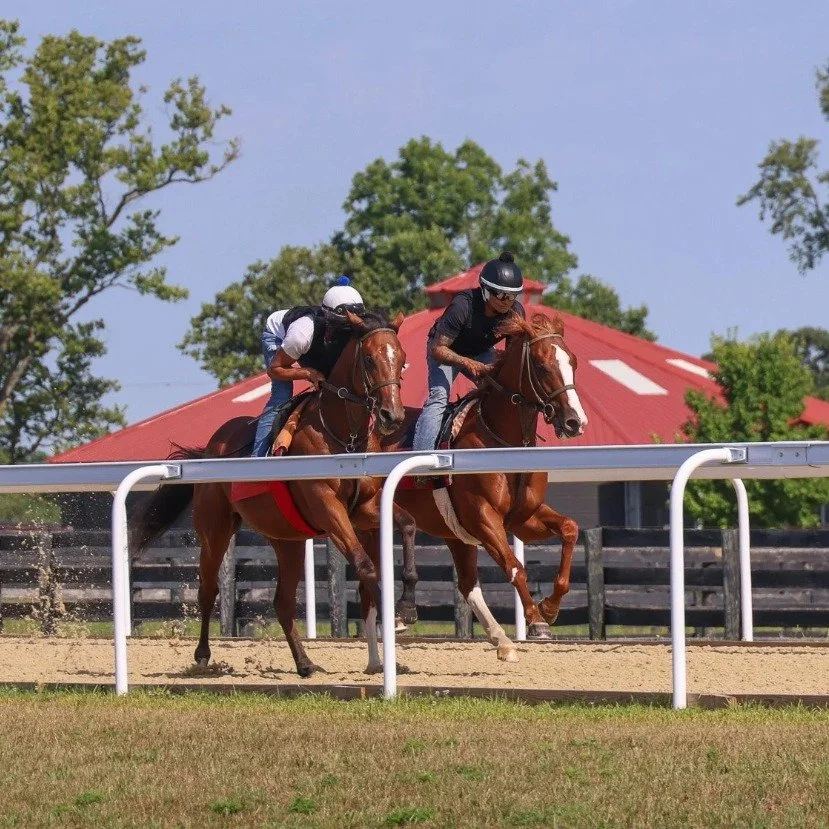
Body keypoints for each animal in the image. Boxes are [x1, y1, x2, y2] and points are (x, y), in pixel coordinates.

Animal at [130, 309, 410, 677]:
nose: (393, 415)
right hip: (215, 529)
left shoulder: (365, 510)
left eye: (402, 359)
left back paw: (304, 663)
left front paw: (404, 611)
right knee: (209, 589)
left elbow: (400, 535)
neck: (343, 437)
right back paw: (203, 654)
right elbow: (364, 565)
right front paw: (393, 622)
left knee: (282, 602)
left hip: (286, 539)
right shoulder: (327, 507)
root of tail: (210, 446)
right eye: (369, 359)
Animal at [376, 312, 588, 661]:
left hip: (454, 533)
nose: (575, 421)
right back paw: (399, 612)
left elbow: (570, 528)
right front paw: (535, 619)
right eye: (542, 365)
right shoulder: (483, 518)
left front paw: (550, 607)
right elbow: (515, 567)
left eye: (573, 361)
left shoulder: (523, 518)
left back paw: (501, 640)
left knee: (466, 584)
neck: (504, 442)